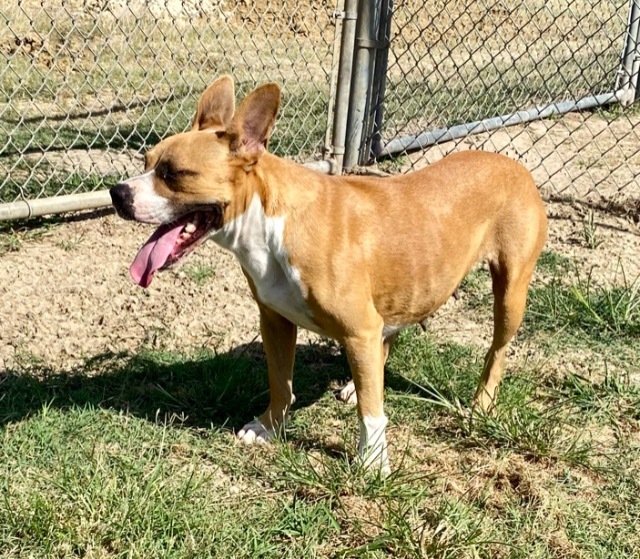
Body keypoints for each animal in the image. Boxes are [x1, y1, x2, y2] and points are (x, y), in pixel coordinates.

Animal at [110, 76, 544, 474]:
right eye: (146, 162)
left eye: (174, 173)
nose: (117, 193)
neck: (270, 221)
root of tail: (513, 163)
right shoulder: (276, 322)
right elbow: (281, 383)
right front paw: (269, 426)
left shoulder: (358, 328)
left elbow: (372, 412)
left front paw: (373, 462)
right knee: (390, 336)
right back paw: (359, 382)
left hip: (509, 295)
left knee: (497, 351)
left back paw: (480, 404)